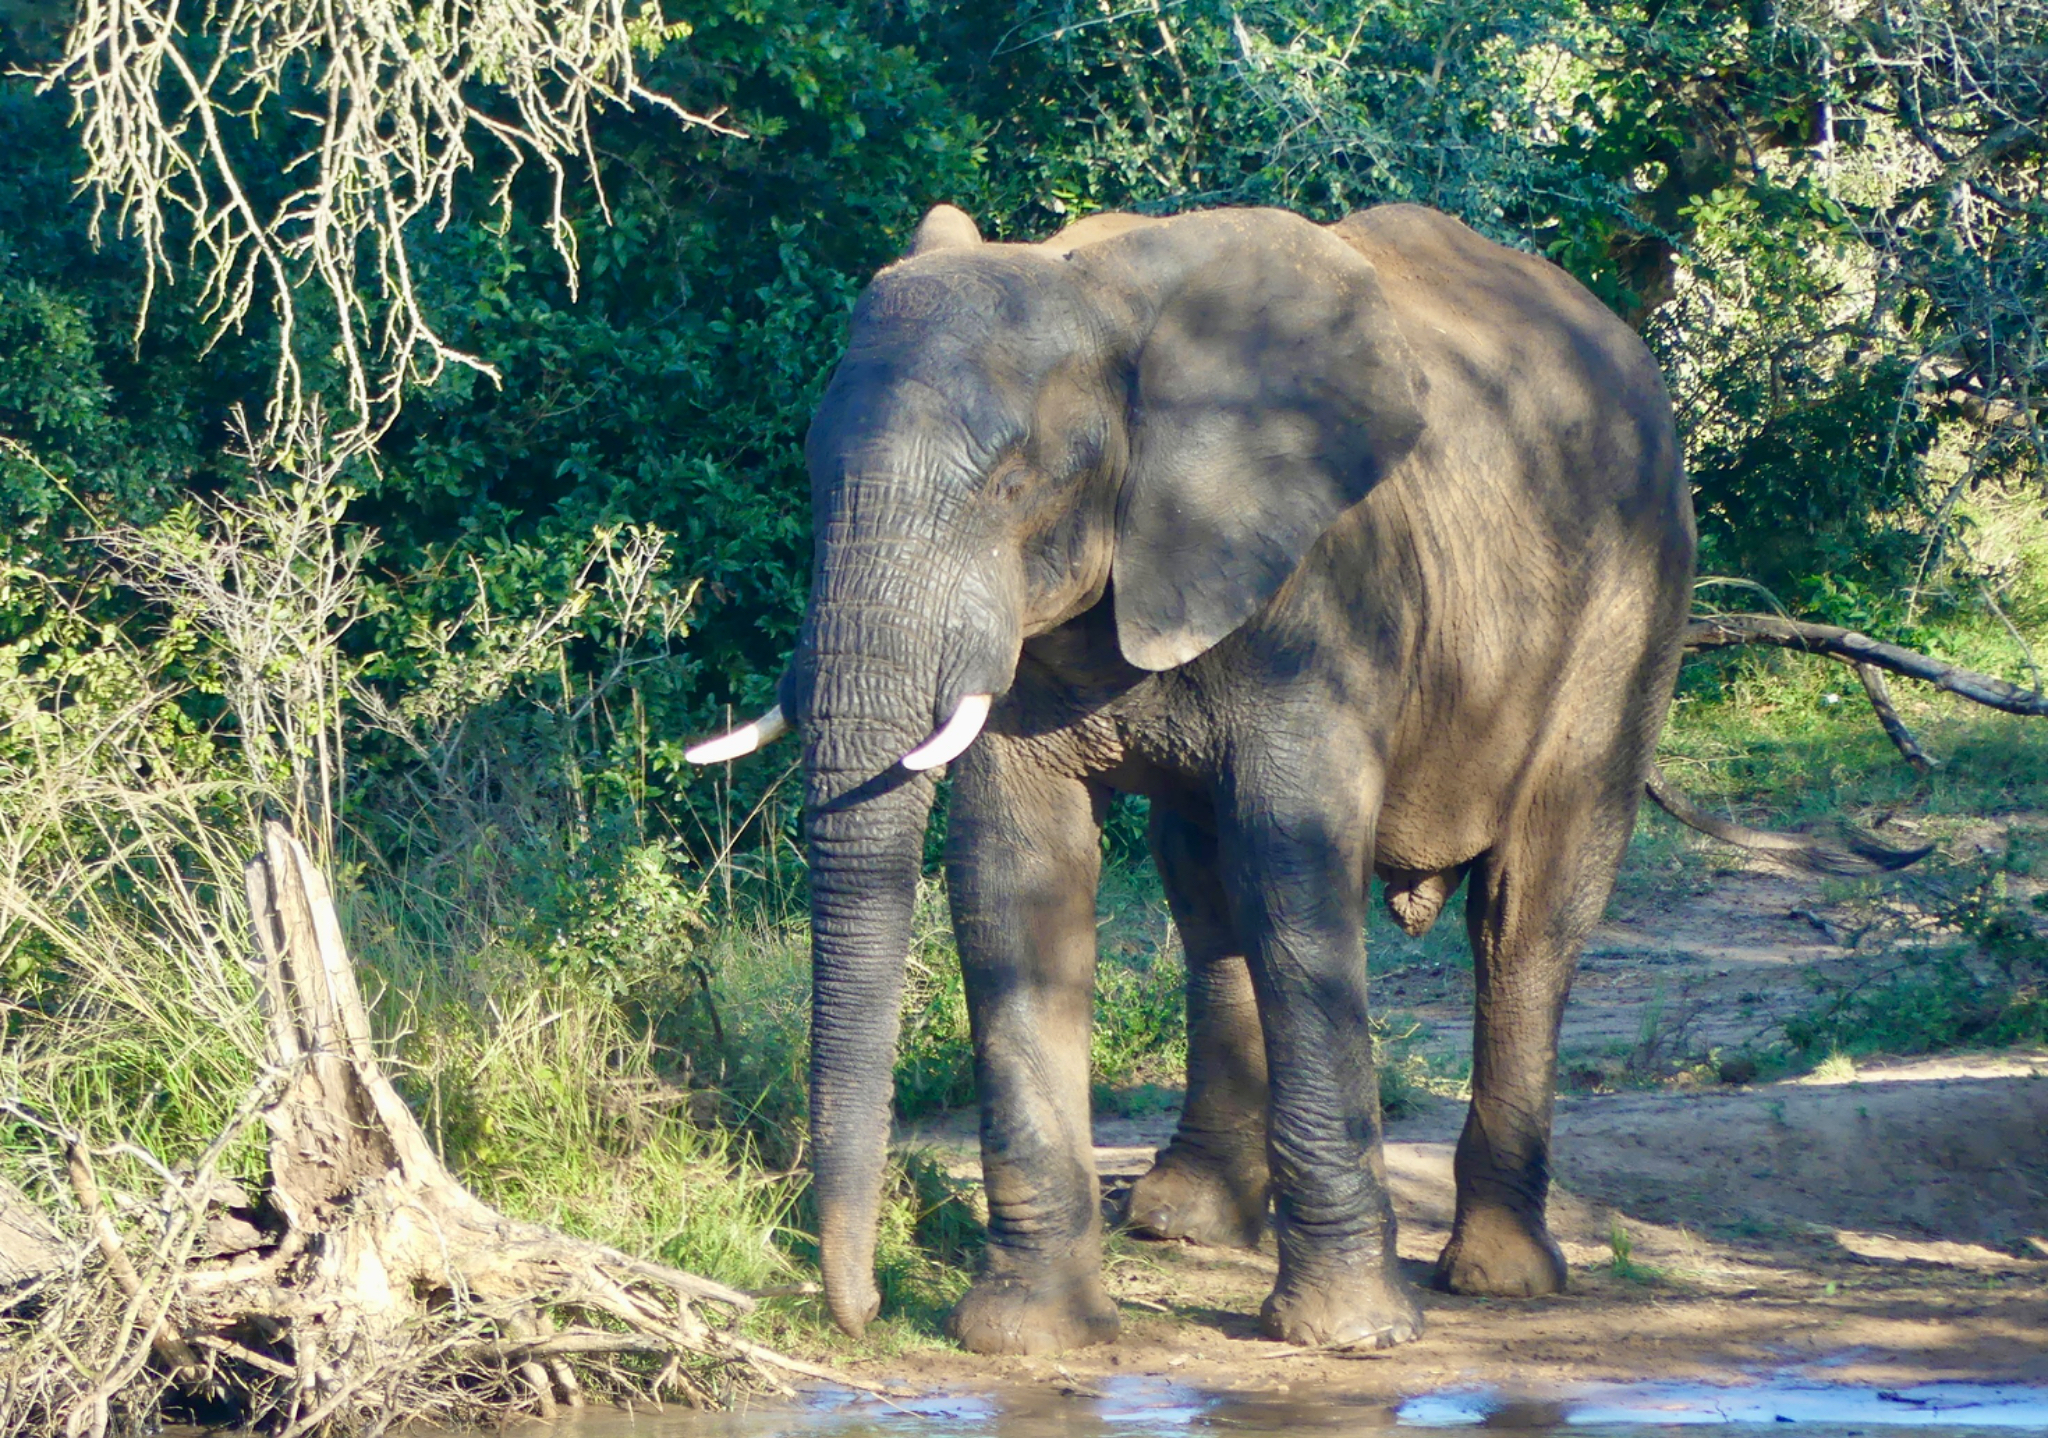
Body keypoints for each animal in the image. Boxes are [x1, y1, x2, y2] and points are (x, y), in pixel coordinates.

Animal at [688, 200, 1698, 1355]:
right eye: (814, 479)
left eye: (1014, 483)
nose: (857, 1313)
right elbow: (1015, 875)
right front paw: (1028, 1337)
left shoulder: (1322, 589)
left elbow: (1295, 864)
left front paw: (1349, 1335)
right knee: (1206, 889)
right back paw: (1185, 1222)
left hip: (1632, 604)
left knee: (1524, 913)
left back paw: (1497, 1277)